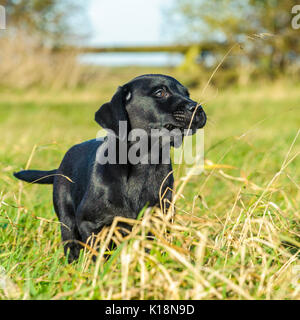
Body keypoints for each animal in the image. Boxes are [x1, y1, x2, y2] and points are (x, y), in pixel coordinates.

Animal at [14, 75, 206, 262]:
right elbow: (100, 255)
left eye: (187, 93)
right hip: (66, 219)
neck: (145, 162)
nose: (198, 108)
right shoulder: (90, 223)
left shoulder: (158, 220)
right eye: (160, 92)